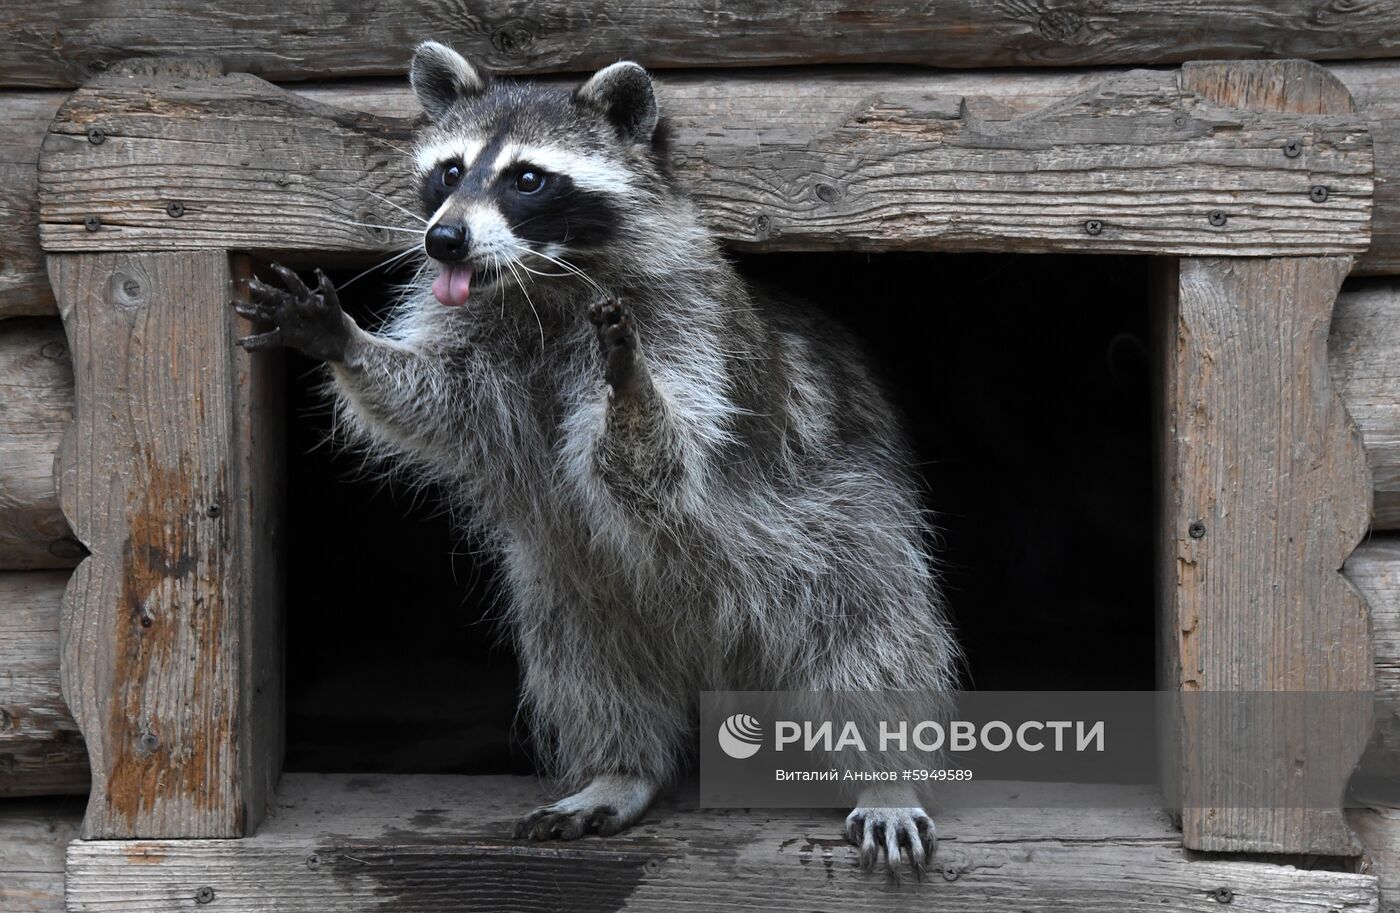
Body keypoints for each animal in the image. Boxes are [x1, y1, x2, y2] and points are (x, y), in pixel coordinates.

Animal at [240, 40, 963, 879]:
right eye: (451, 170)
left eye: (526, 178)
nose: (443, 240)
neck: (544, 277)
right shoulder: (482, 341)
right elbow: (437, 400)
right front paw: (348, 343)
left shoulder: (693, 327)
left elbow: (666, 455)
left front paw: (631, 388)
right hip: (578, 581)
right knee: (591, 669)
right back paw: (622, 767)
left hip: (840, 529)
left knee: (874, 635)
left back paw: (886, 771)